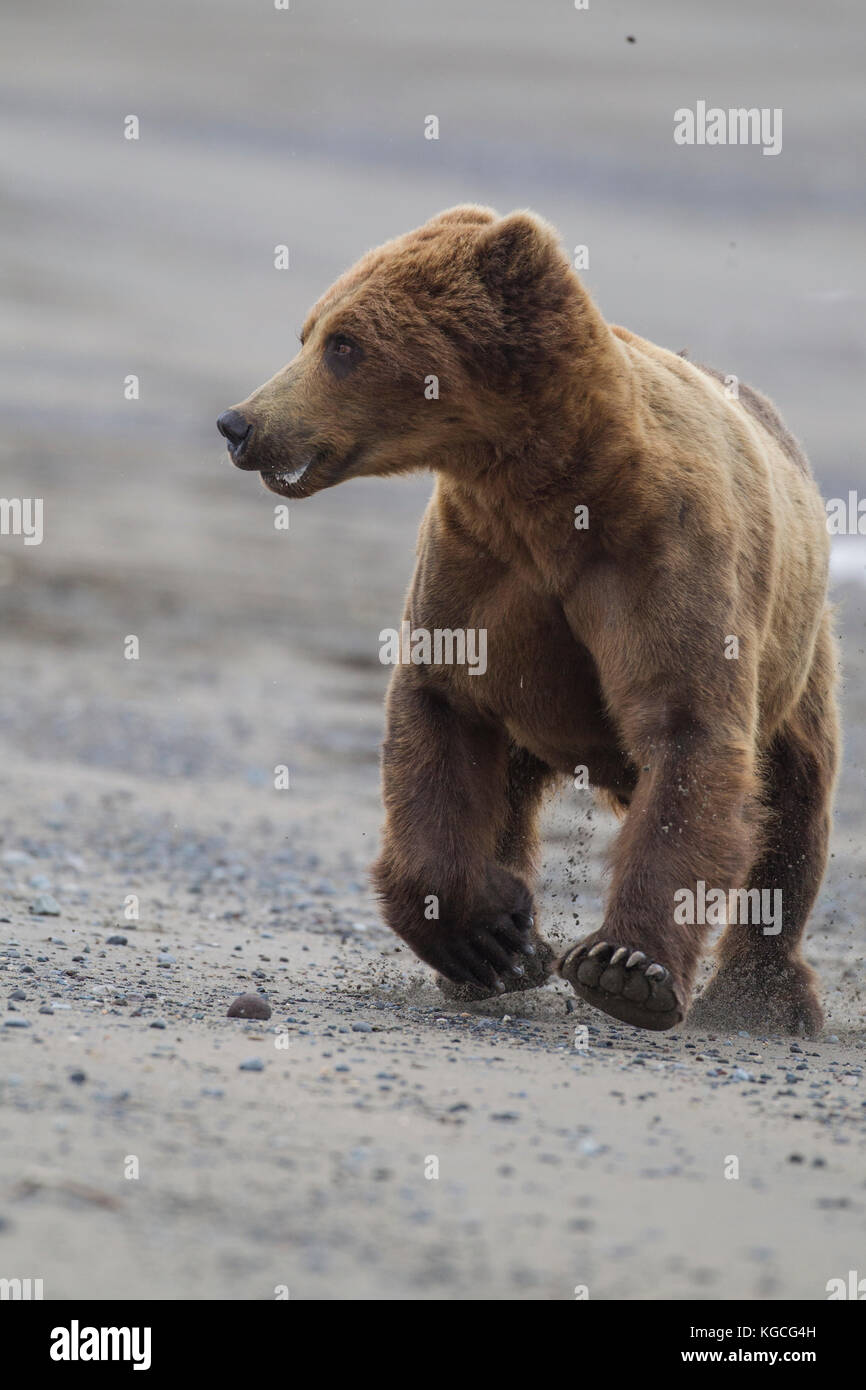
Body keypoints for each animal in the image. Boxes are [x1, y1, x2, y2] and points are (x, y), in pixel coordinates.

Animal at [217, 204, 840, 1036]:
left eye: (345, 344)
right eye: (310, 331)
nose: (239, 424)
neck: (545, 493)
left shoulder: (662, 557)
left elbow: (689, 730)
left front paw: (625, 966)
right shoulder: (480, 567)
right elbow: (438, 716)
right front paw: (492, 938)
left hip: (799, 657)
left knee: (795, 803)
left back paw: (764, 995)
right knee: (505, 793)